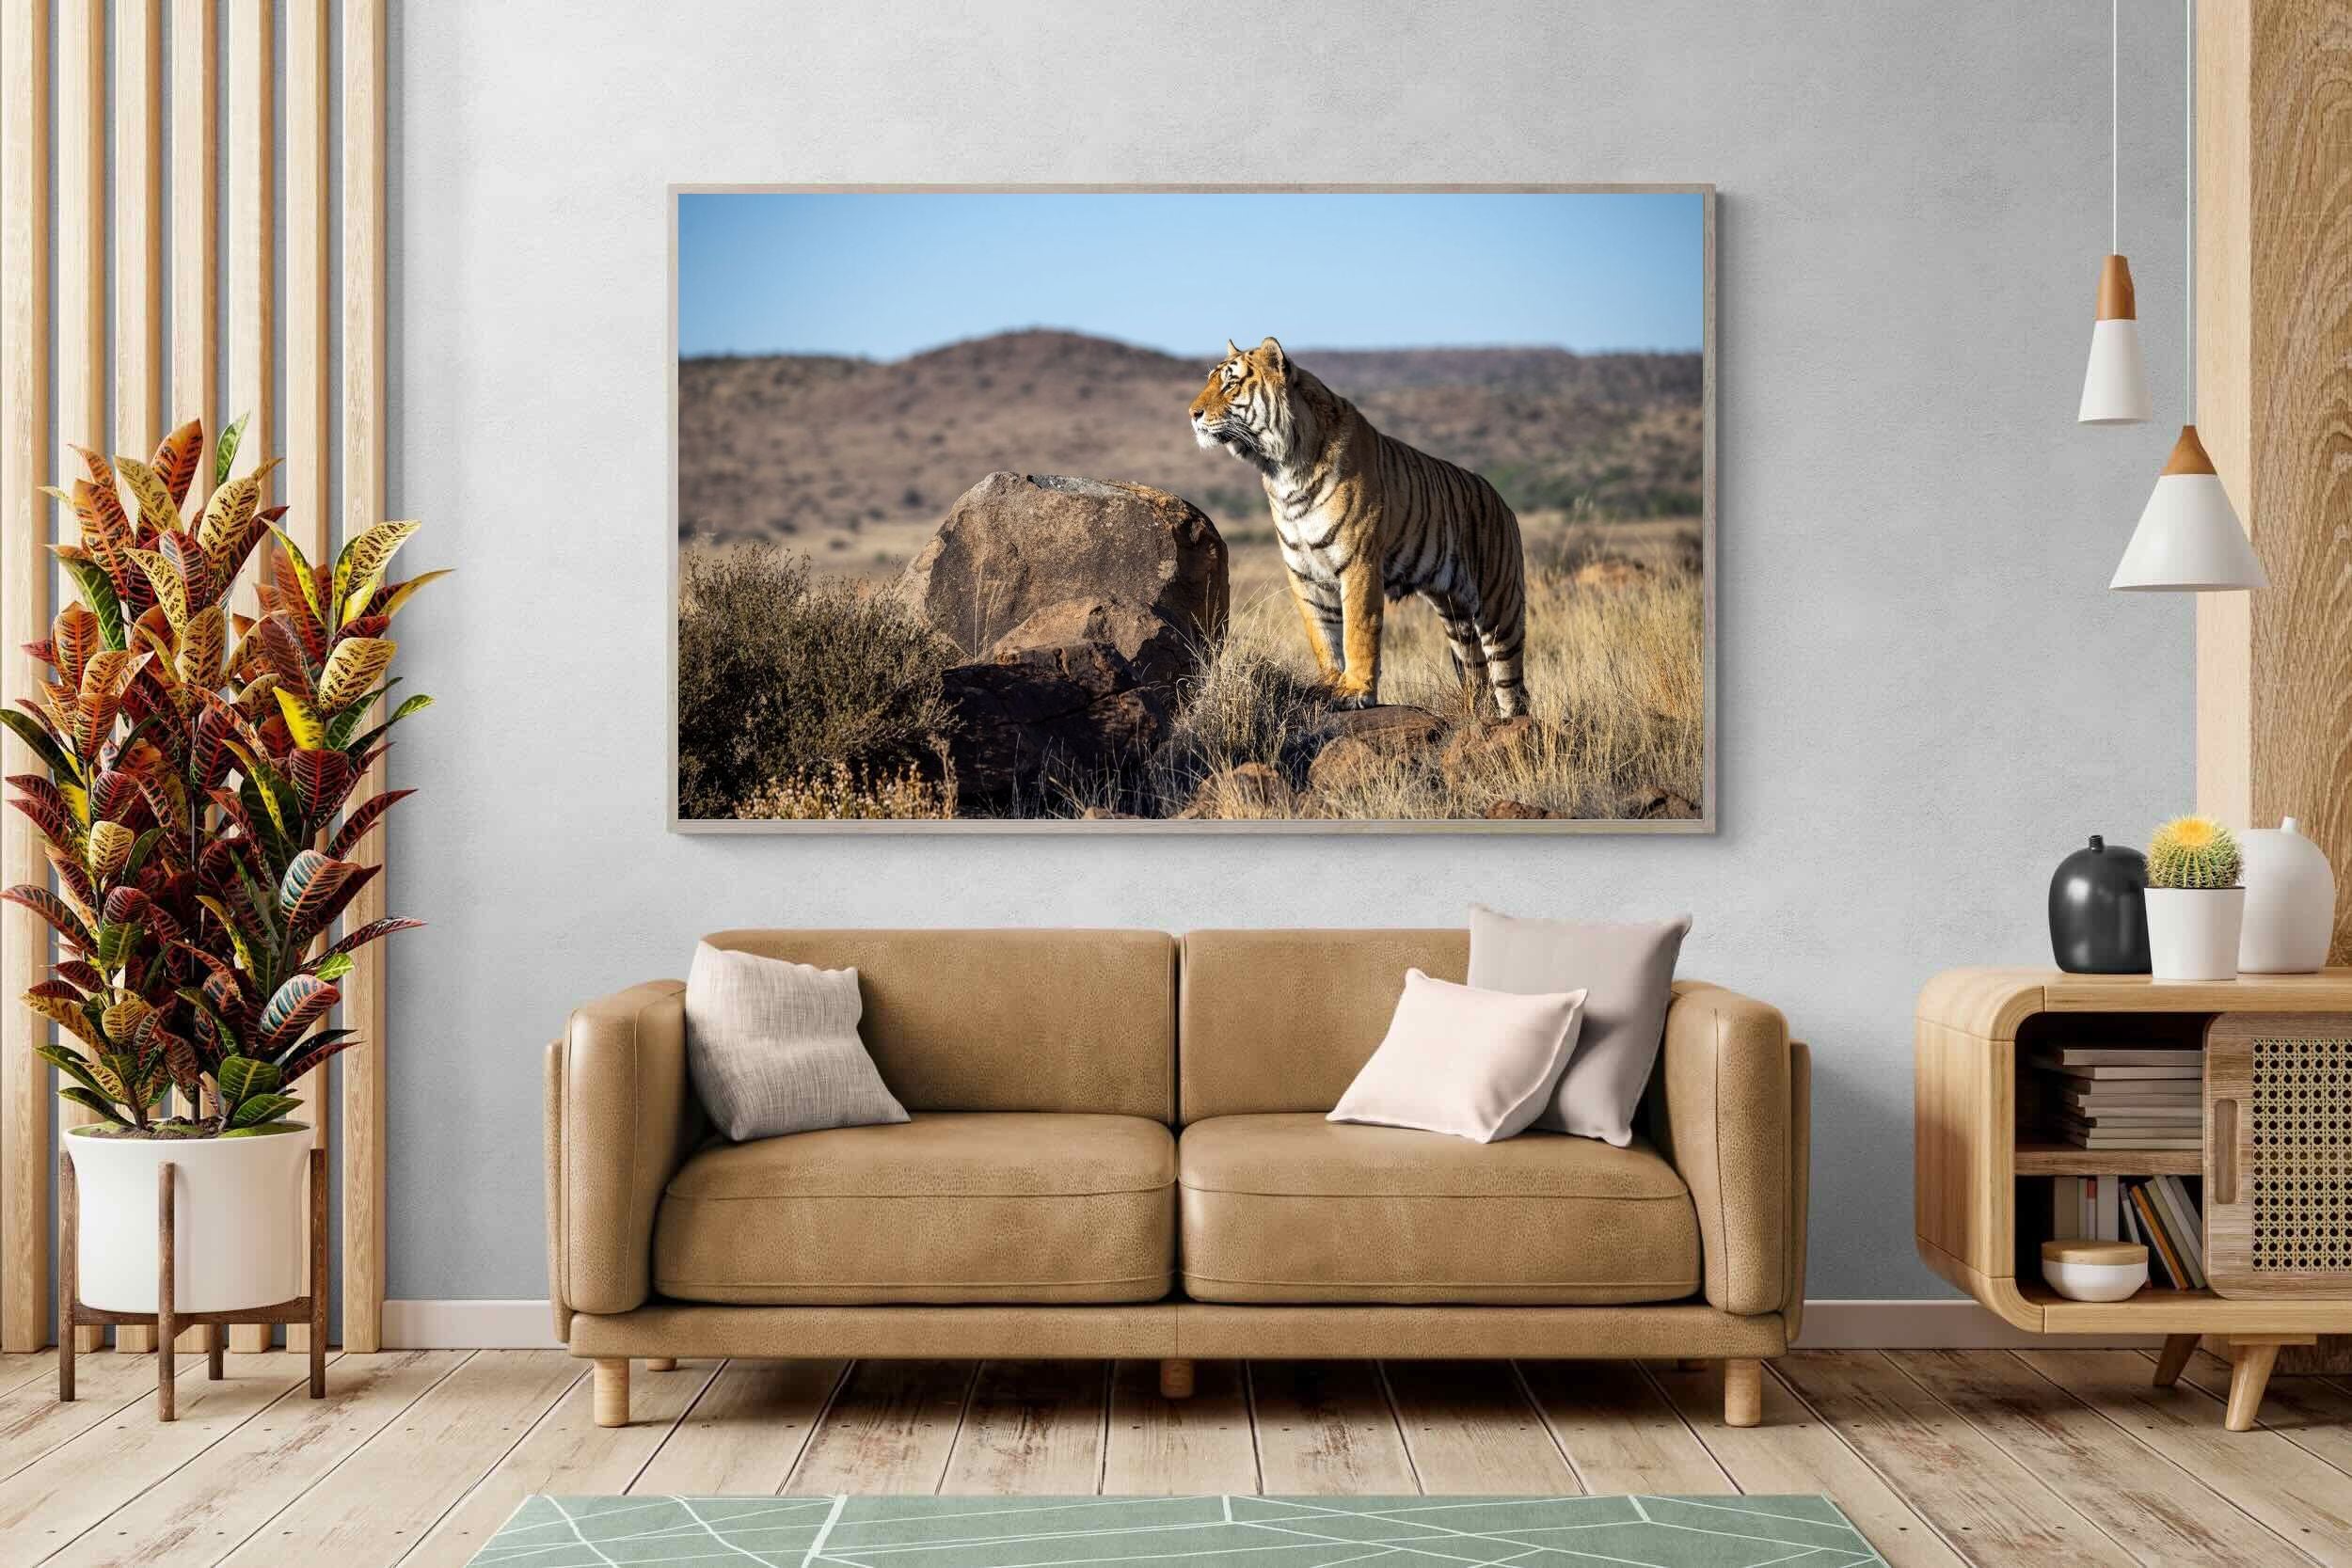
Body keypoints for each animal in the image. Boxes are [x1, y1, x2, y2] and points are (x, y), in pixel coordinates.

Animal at [1188, 336, 1529, 717]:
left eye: (1230, 384)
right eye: (1210, 380)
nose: (1192, 414)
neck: (1282, 469)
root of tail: (1502, 501)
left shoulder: (1359, 562)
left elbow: (1357, 630)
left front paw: (1356, 691)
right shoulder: (1303, 572)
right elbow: (1322, 635)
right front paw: (1329, 685)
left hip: (1499, 607)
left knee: (1512, 685)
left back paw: (1514, 721)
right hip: (1456, 619)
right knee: (1477, 678)